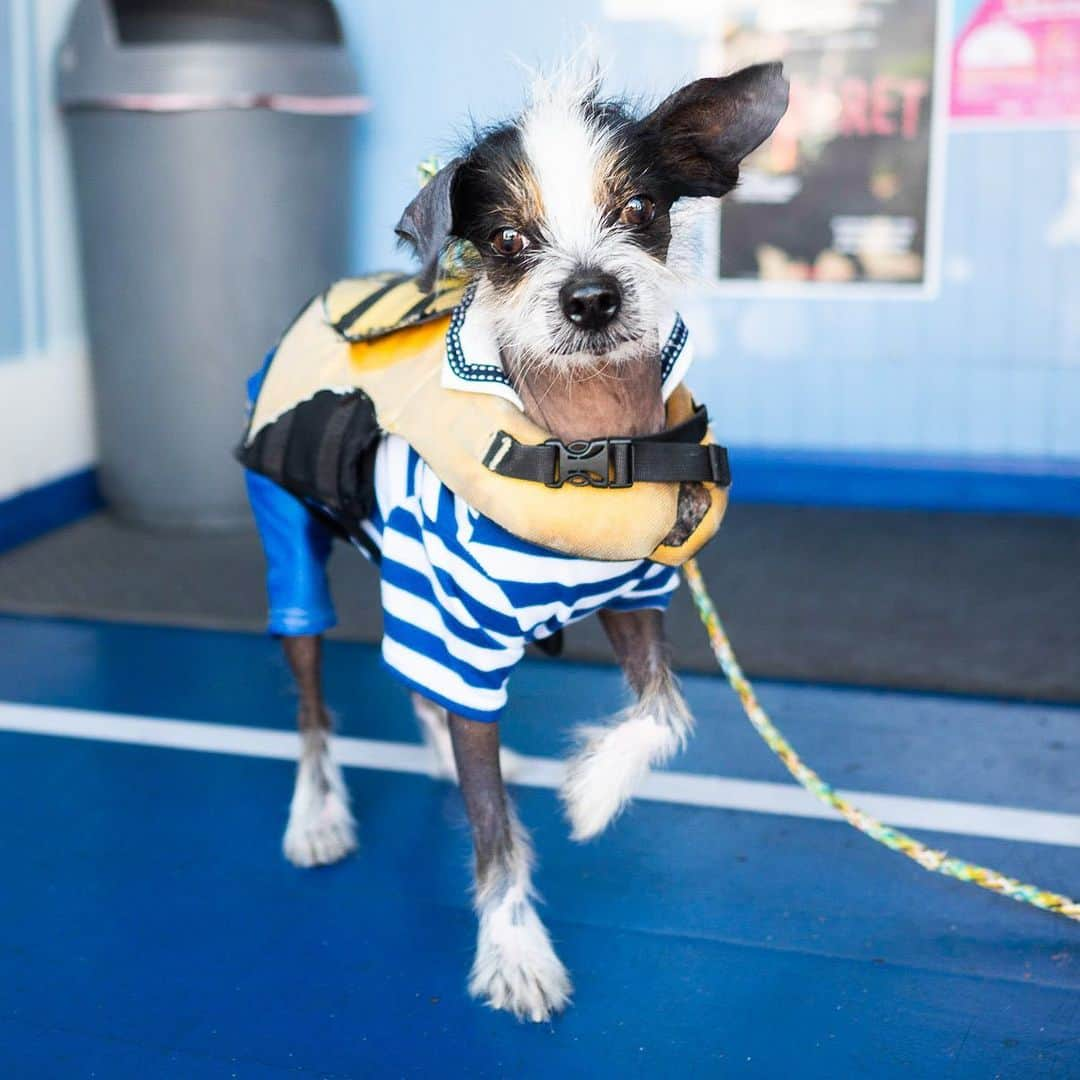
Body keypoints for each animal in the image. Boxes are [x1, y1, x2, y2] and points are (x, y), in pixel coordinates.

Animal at [247, 59, 786, 1019]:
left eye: (639, 209)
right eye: (504, 239)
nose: (591, 297)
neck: (586, 443)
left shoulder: (634, 598)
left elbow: (663, 710)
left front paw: (592, 794)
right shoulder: (465, 639)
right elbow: (493, 825)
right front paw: (515, 949)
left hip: (407, 579)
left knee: (414, 679)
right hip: (293, 544)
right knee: (311, 701)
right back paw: (316, 814)